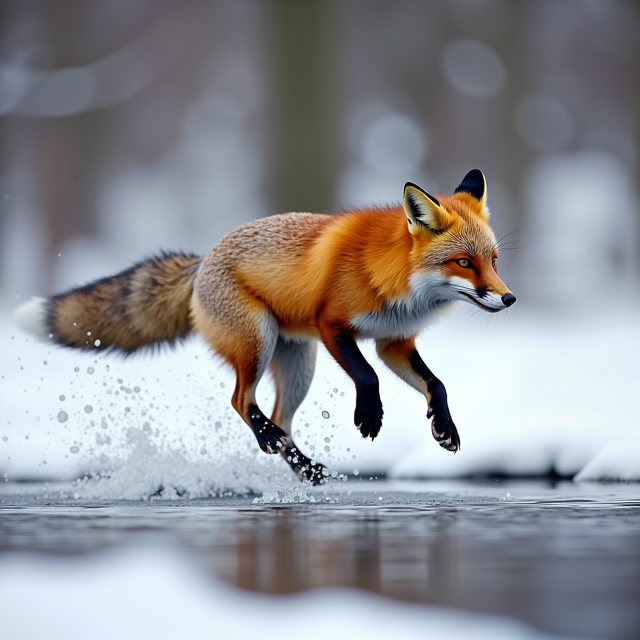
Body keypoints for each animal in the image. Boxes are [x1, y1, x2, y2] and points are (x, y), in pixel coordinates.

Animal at [15, 169, 515, 485]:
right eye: (463, 262)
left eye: (493, 260)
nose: (509, 298)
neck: (394, 280)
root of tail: (202, 261)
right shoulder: (332, 325)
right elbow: (367, 376)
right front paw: (369, 416)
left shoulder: (392, 341)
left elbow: (437, 384)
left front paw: (444, 427)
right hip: (260, 341)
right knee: (241, 400)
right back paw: (270, 440)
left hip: (298, 365)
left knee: (280, 418)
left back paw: (303, 467)